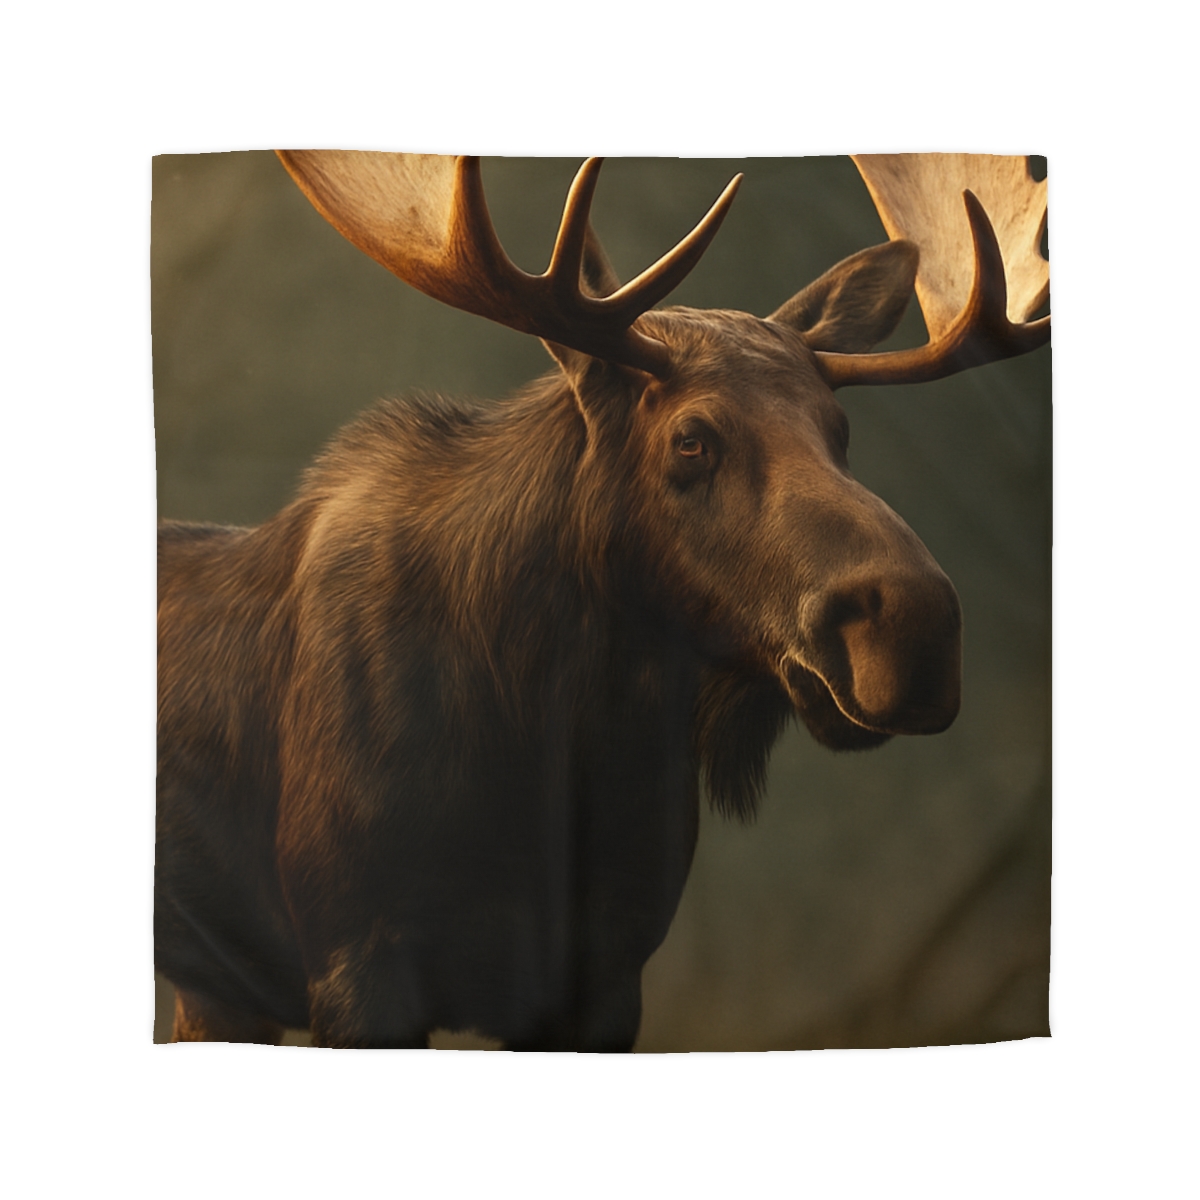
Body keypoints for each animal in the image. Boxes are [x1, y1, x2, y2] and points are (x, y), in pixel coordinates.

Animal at [155, 152, 1049, 1049]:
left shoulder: (606, 977)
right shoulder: (360, 960)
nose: (915, 624)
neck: (550, 742)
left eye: (840, 430)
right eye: (690, 439)